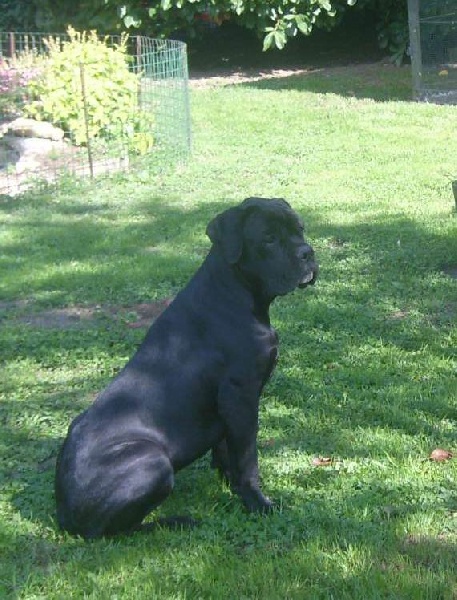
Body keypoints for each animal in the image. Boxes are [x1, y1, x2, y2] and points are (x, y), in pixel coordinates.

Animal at [55, 197, 318, 538]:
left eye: (300, 229)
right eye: (269, 239)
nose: (307, 253)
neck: (234, 292)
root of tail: (63, 511)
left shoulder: (227, 405)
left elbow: (227, 450)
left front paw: (231, 486)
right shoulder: (240, 396)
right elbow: (247, 457)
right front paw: (258, 502)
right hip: (153, 461)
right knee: (115, 530)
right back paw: (177, 522)